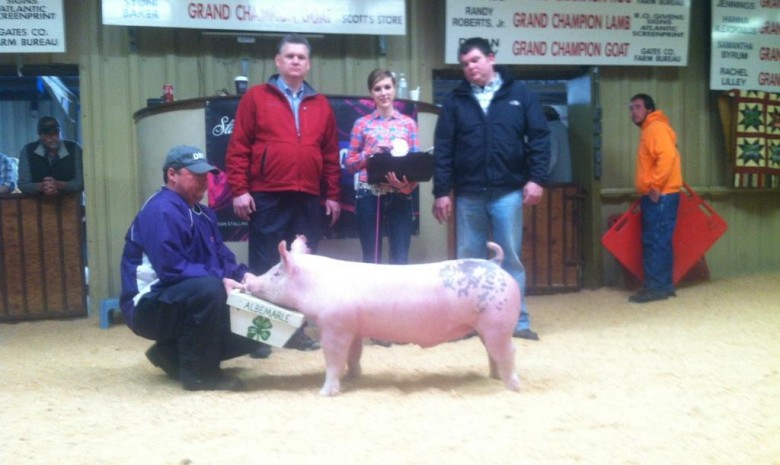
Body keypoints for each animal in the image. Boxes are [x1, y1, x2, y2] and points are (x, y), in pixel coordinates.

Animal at [245, 234, 524, 394]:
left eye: (275, 273)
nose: (248, 279)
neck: (314, 285)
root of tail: (495, 264)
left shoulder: (335, 325)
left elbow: (333, 358)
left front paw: (324, 392)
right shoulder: (354, 327)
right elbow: (353, 355)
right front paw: (353, 377)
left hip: (498, 323)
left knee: (508, 352)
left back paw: (512, 387)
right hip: (485, 327)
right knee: (492, 353)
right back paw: (493, 377)